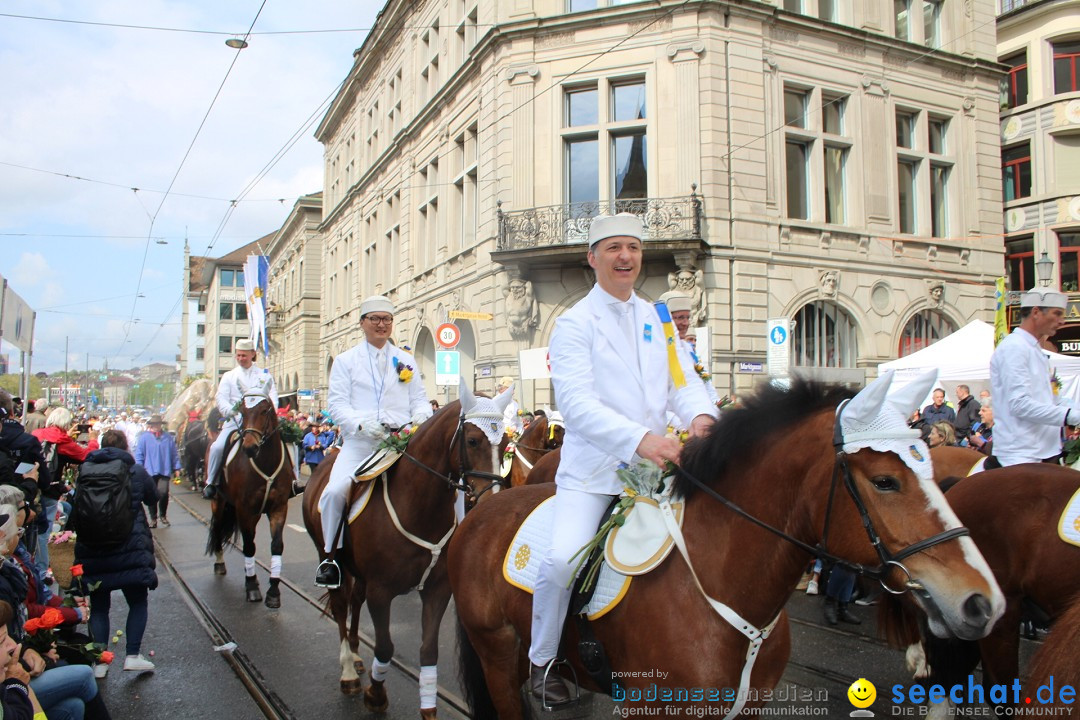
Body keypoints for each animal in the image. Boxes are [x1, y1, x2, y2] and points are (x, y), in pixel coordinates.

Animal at [203, 395, 293, 608]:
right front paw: (252, 587)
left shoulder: (278, 507)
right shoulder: (244, 509)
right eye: (242, 412)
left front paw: (273, 591)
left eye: (264, 411)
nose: (250, 447)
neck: (266, 463)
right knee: (218, 528)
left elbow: (276, 546)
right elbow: (249, 546)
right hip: (219, 501)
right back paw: (220, 564)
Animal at [300, 386, 509, 716]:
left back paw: (357, 656)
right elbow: (385, 646)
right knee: (340, 605)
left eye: (507, 443)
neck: (418, 507)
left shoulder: (437, 590)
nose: (491, 502)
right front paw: (376, 695)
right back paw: (348, 670)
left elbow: (428, 651)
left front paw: (428, 709)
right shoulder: (381, 592)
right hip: (329, 556)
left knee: (354, 601)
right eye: (473, 440)